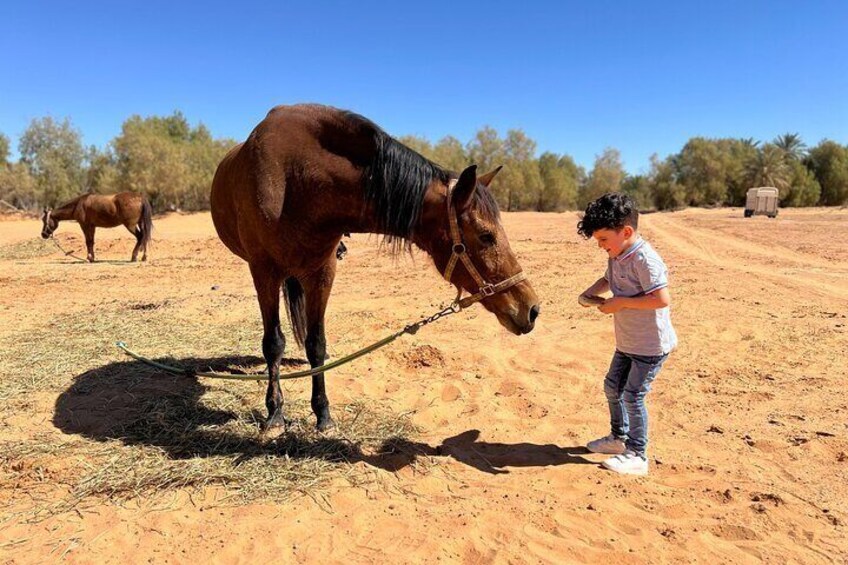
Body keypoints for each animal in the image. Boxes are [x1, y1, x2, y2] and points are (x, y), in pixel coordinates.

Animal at [212, 104, 540, 432]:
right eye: (486, 236)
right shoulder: (263, 273)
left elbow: (316, 344)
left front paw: (323, 415)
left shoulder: (322, 273)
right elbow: (273, 344)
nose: (532, 309)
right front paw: (275, 413)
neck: (295, 179)